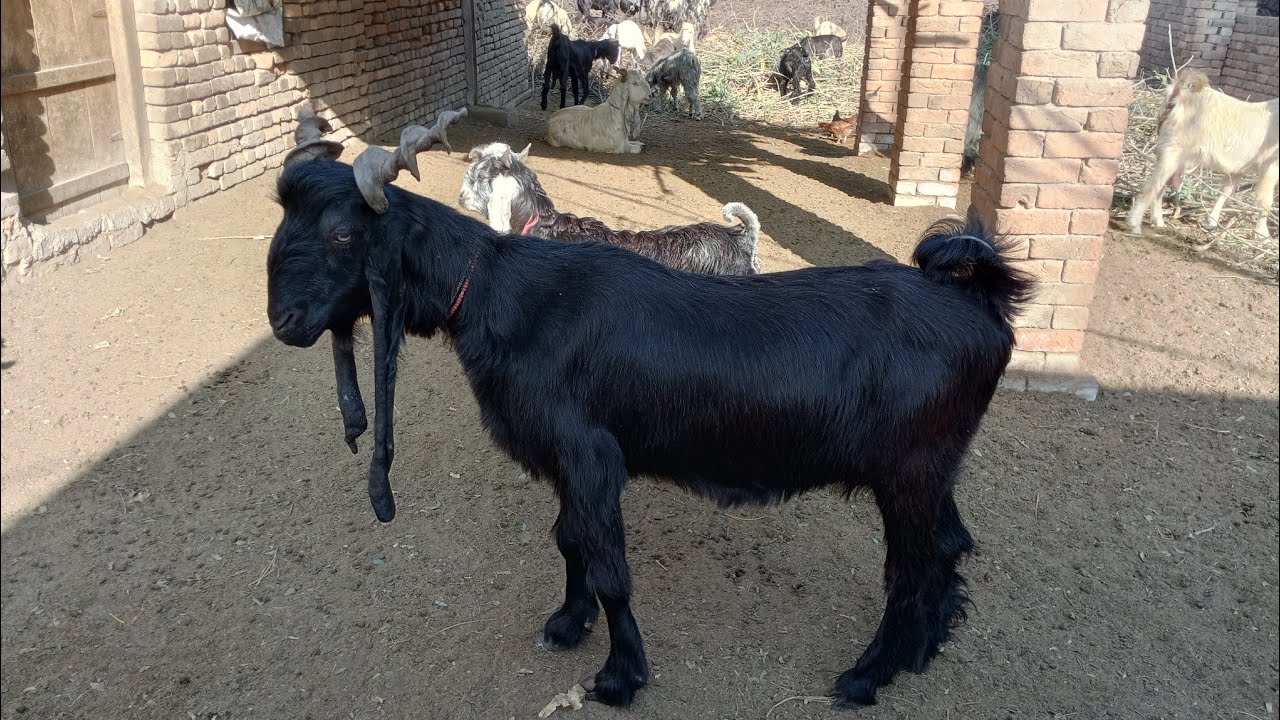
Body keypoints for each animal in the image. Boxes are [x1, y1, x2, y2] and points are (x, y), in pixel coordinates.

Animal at [1128, 69, 1279, 239]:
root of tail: (1181, 93)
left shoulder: (1238, 168)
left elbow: (1226, 191)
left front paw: (1211, 221)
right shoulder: (1271, 165)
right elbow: (1265, 201)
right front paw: (1262, 234)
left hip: (1176, 157)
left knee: (1160, 188)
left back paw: (1158, 221)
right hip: (1171, 151)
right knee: (1151, 186)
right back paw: (1135, 225)